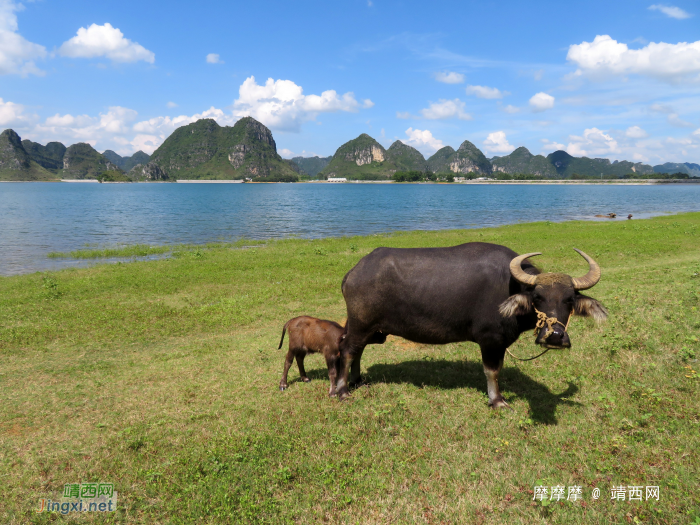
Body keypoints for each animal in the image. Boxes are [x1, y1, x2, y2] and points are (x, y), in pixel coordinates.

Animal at [334, 244, 608, 408]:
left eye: (569, 299)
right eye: (537, 298)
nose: (555, 336)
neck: (510, 287)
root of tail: (353, 272)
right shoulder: (490, 340)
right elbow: (492, 371)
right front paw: (496, 400)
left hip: (371, 330)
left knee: (356, 350)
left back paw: (356, 381)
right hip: (361, 325)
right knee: (347, 351)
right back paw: (342, 390)